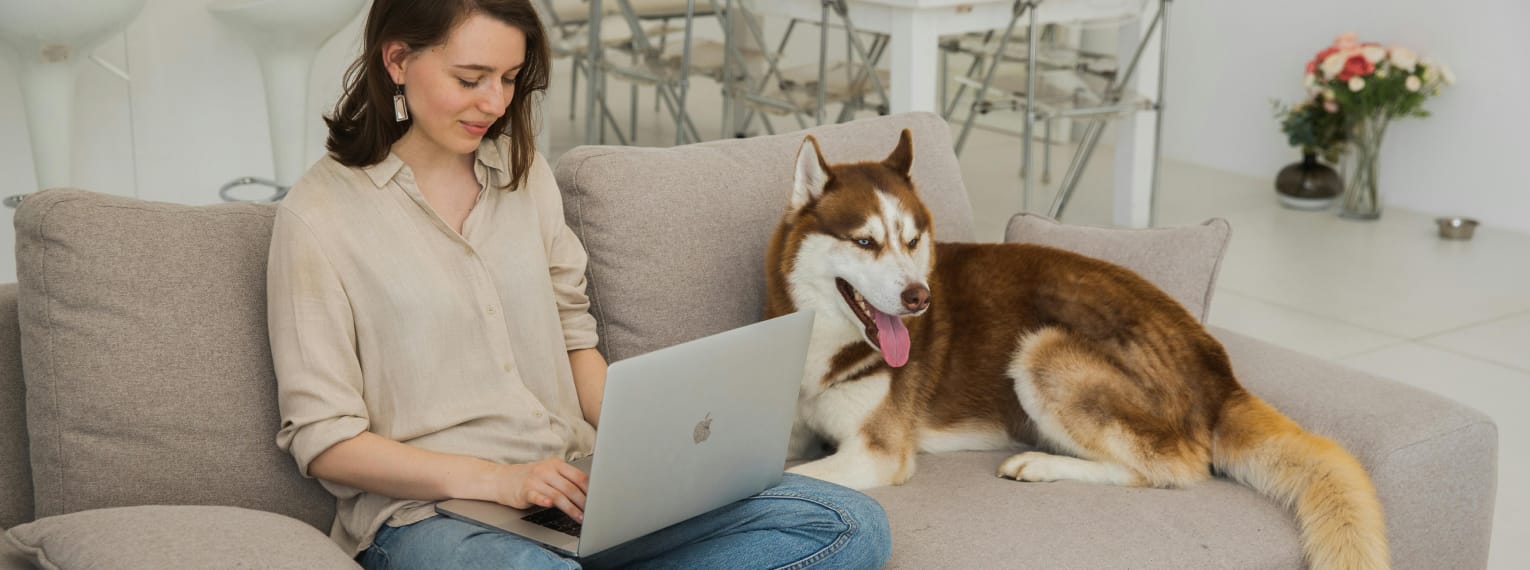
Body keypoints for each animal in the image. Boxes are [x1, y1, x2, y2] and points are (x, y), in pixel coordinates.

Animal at [761, 129, 1389, 568]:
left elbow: (800, 479)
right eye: (866, 242)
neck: (827, 343)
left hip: (1043, 350)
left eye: (912, 241)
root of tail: (1218, 371)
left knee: (1174, 468)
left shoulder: (875, 453)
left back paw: (1040, 464)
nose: (919, 298)